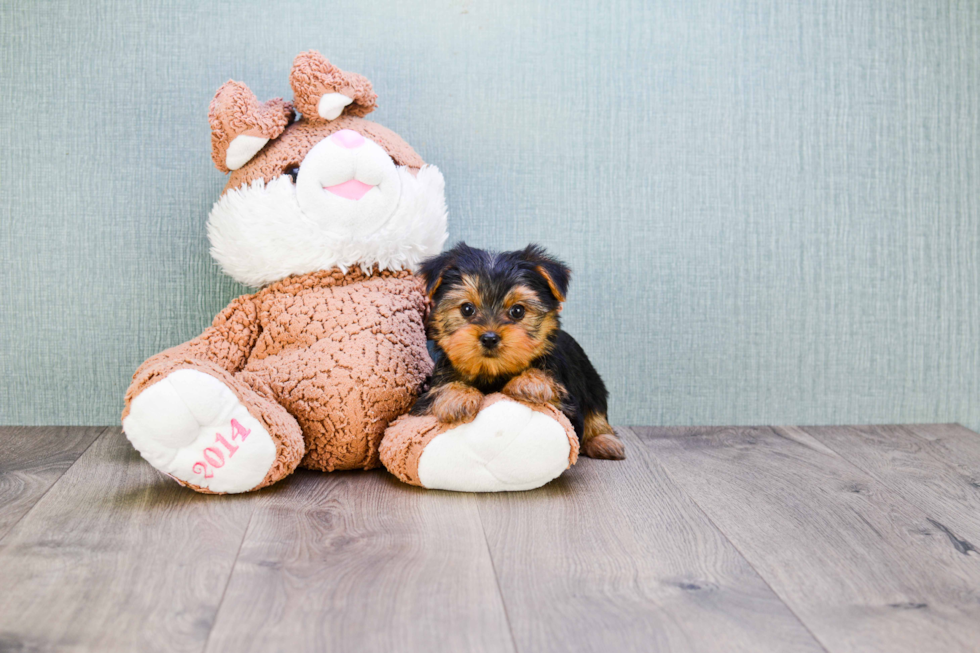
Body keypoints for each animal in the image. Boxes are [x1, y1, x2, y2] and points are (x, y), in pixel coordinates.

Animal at [410, 242, 624, 460]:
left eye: (518, 311)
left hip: (591, 380)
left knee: (596, 408)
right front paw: (457, 396)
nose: (489, 338)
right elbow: (440, 388)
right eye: (467, 309)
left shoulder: (569, 405)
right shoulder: (423, 401)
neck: (493, 372)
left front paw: (532, 382)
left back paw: (604, 440)